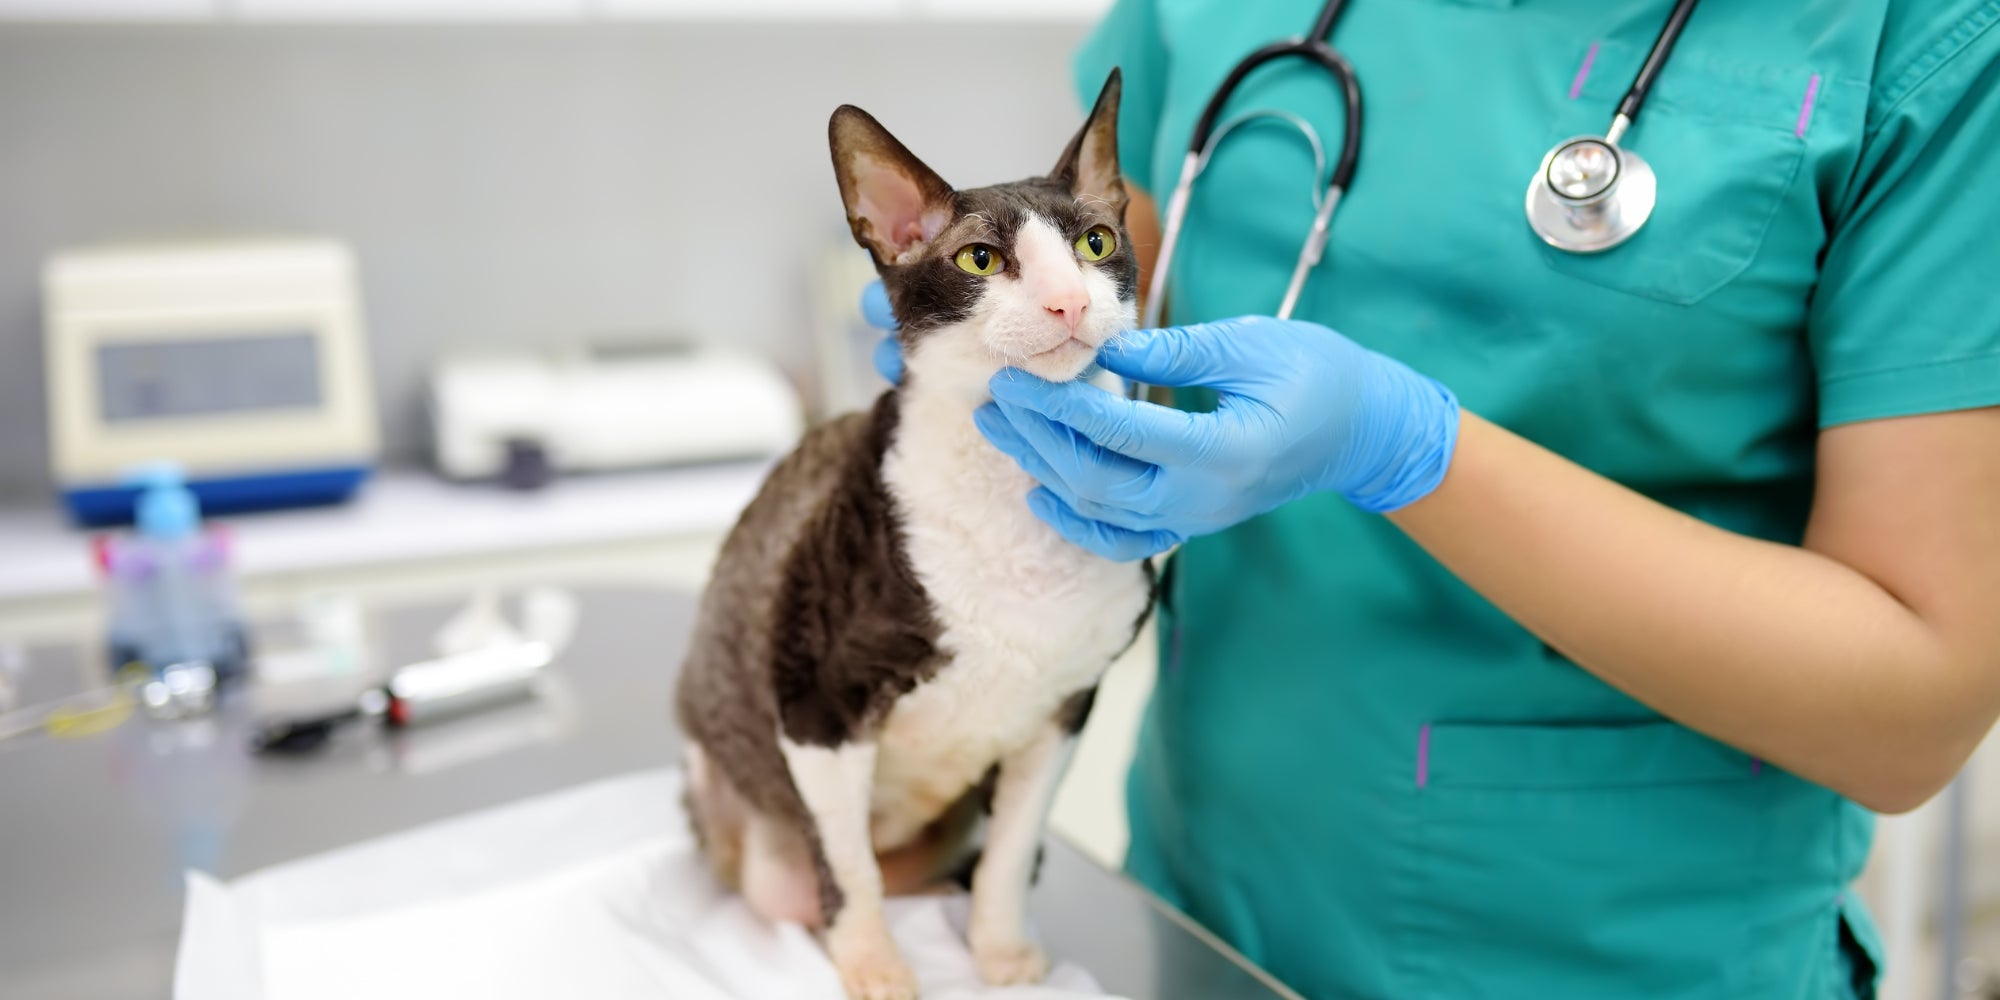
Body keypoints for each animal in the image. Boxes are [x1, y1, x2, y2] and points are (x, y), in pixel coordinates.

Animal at [672, 72, 1152, 1000]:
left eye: (1097, 241)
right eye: (980, 260)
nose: (1071, 300)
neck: (1013, 493)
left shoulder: (1065, 712)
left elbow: (1011, 853)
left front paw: (1000, 951)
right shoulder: (816, 704)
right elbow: (848, 870)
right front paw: (875, 965)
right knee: (815, 878)